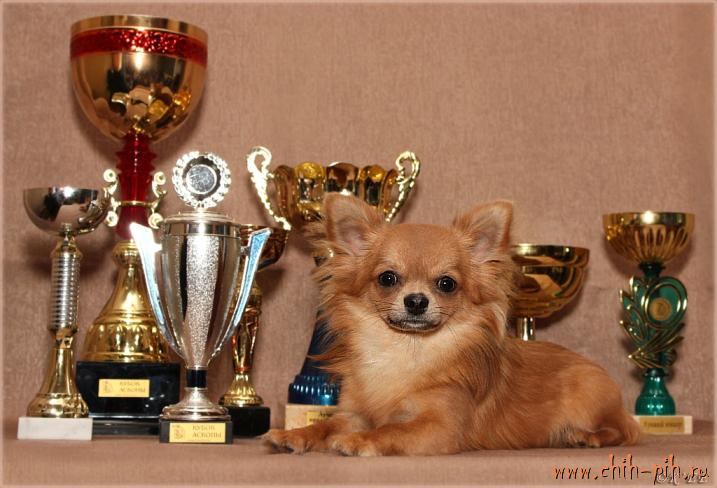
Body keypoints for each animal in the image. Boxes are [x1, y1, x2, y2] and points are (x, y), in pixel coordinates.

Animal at [265, 195, 640, 456]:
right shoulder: (352, 413)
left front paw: (359, 441)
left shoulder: (439, 427)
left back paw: (586, 436)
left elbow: (390, 431)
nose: (416, 301)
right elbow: (328, 425)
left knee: (624, 431)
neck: (406, 351)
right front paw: (294, 435)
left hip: (589, 392)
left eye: (446, 284)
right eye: (387, 278)